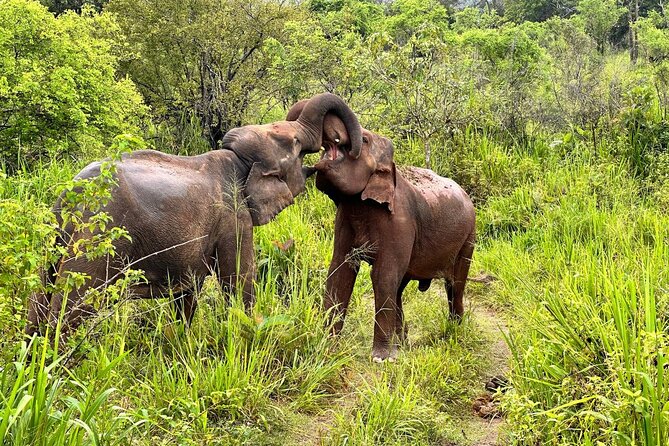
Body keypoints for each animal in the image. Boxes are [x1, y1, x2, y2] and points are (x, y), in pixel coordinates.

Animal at [25, 93, 363, 340]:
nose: (342, 145)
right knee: (70, 308)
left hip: (54, 240)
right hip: (96, 243)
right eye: (294, 144)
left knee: (39, 298)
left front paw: (183, 344)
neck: (237, 160)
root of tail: (71, 198)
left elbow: (188, 293)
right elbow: (238, 282)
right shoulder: (233, 219)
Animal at [287, 101, 476, 363]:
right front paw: (326, 347)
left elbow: (382, 276)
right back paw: (403, 344)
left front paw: (380, 358)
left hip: (469, 238)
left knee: (455, 285)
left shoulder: (399, 223)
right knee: (400, 288)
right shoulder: (345, 220)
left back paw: (454, 331)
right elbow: (340, 273)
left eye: (364, 140)